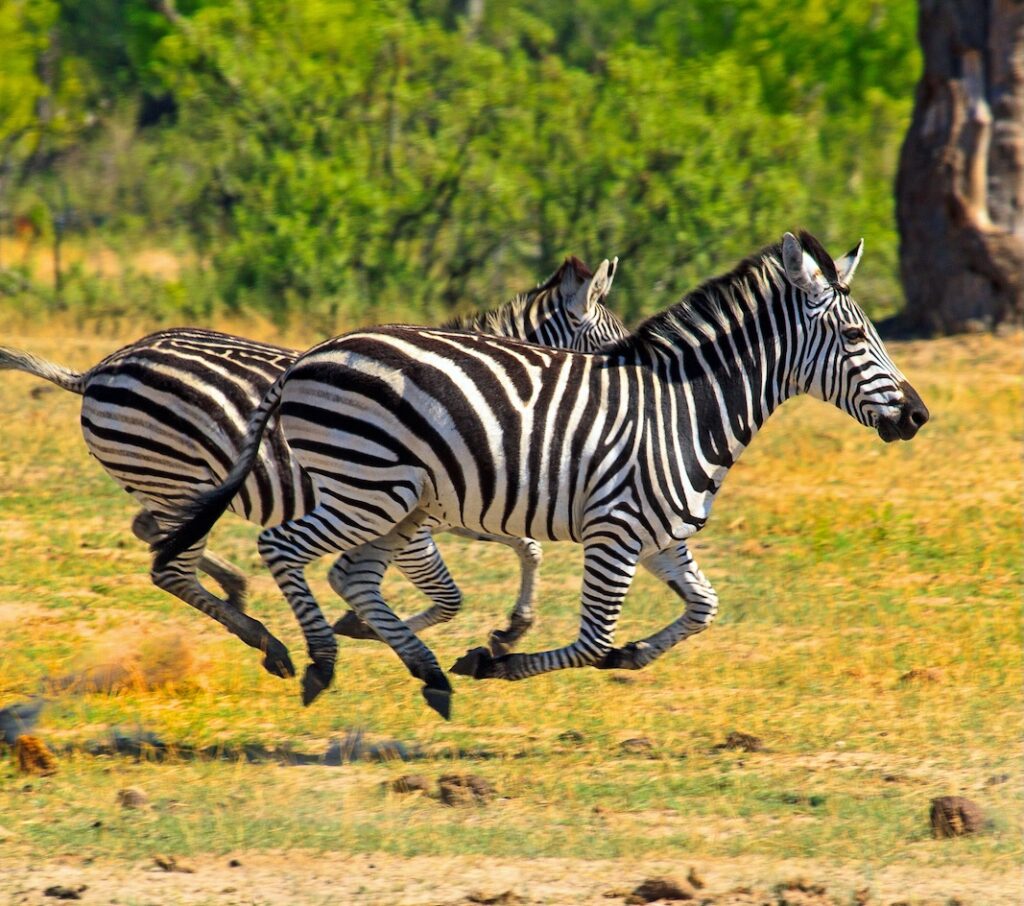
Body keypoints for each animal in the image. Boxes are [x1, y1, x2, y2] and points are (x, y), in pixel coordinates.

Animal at [1, 255, 627, 688]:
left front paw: (511, 628)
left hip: (168, 482)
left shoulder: (461, 506)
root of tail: (97, 369)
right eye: (623, 347)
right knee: (169, 565)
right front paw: (362, 625)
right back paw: (268, 641)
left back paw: (236, 589)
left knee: (154, 534)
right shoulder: (417, 514)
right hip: (177, 475)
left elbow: (528, 548)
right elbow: (449, 594)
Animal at [154, 231, 929, 719]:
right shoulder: (616, 533)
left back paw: (423, 672)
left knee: (352, 576)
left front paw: (633, 655)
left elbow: (703, 609)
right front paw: (496, 661)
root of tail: (310, 356)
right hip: (371, 490)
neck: (685, 410)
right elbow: (590, 640)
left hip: (397, 503)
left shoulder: (662, 538)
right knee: (282, 548)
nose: (918, 416)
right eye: (855, 337)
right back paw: (318, 660)